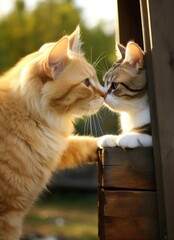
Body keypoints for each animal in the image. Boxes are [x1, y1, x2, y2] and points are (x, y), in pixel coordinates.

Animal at [0, 26, 105, 240]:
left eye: (95, 79)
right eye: (86, 83)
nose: (106, 93)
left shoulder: (58, 147)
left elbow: (86, 143)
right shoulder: (9, 216)